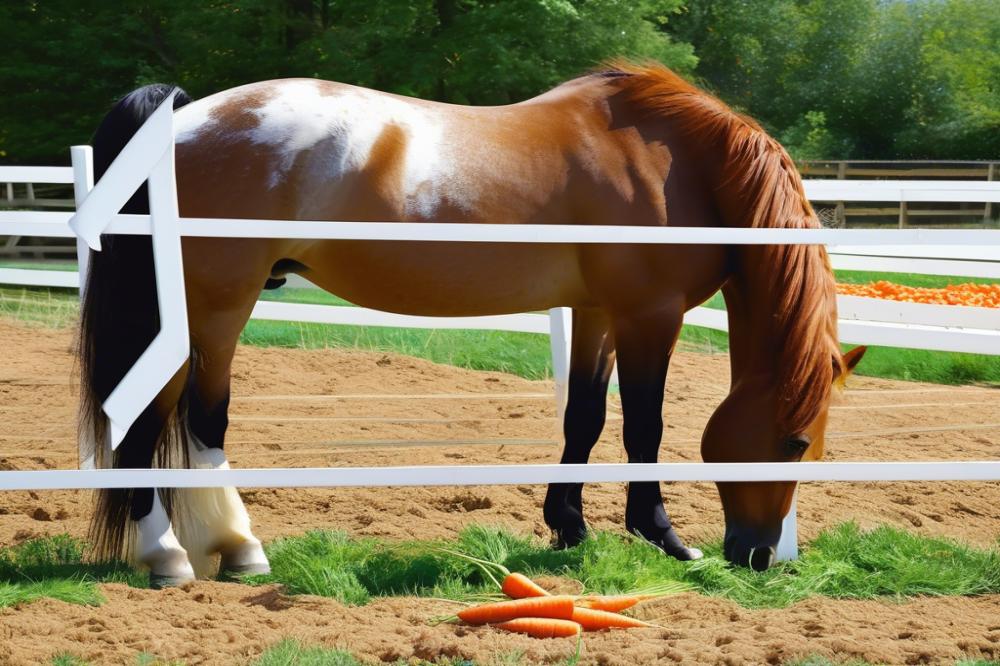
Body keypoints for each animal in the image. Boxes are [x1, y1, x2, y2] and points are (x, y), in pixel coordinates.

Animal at [82, 59, 868, 584]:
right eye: (797, 442)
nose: (761, 555)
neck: (678, 165)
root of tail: (181, 121)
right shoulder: (651, 315)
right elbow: (644, 426)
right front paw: (664, 537)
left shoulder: (596, 311)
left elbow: (583, 418)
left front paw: (568, 528)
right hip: (214, 307)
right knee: (170, 418)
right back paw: (191, 554)